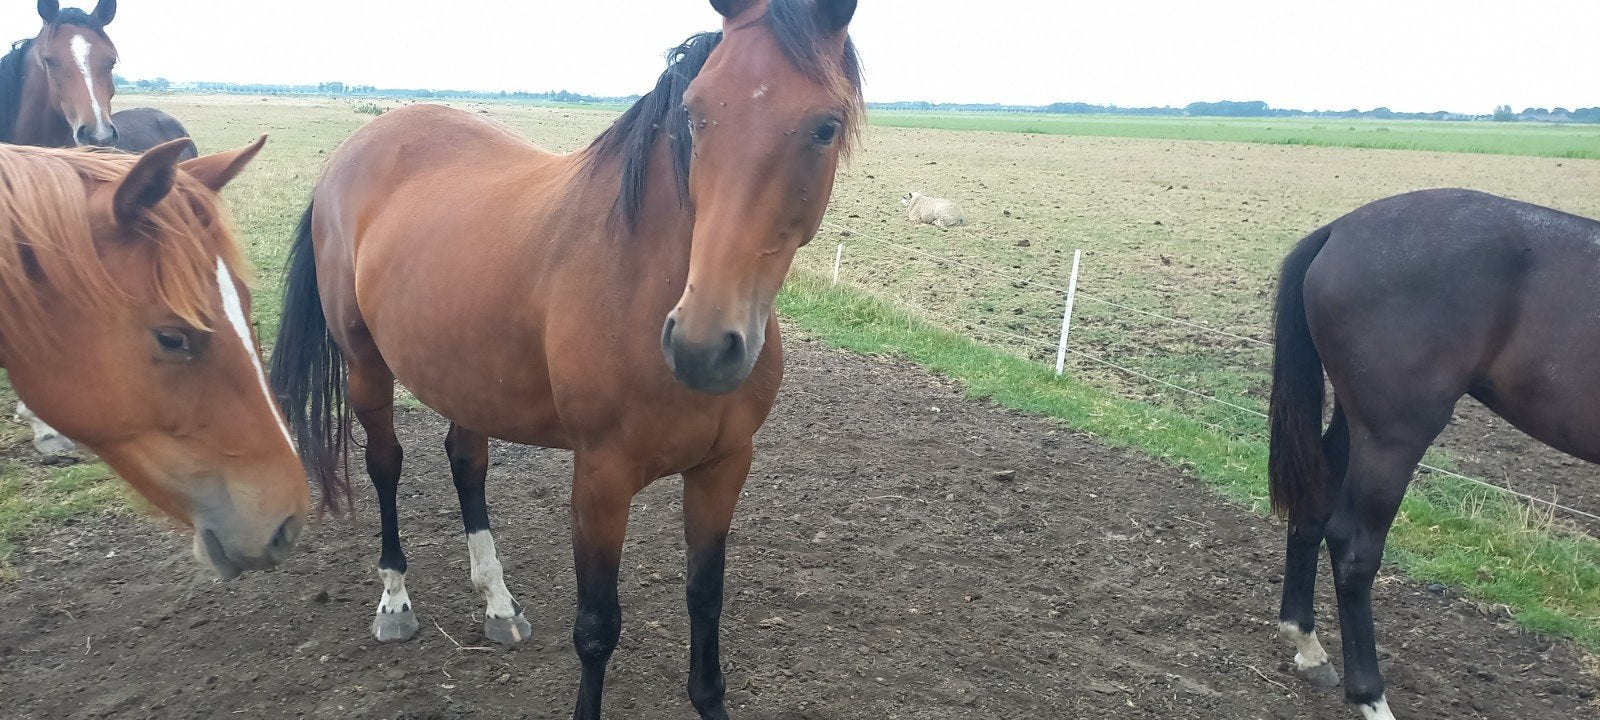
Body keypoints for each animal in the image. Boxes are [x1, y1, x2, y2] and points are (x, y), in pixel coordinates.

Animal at [268, 1, 862, 716]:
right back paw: (395, 601)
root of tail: (354, 150)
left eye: (826, 126)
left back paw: (498, 606)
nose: (701, 346)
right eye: (694, 113)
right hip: (366, 366)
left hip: (466, 376)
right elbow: (597, 626)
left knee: (467, 465)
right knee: (385, 464)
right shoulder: (601, 477)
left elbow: (706, 598)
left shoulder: (723, 468)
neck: (640, 275)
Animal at [1269, 188, 1600, 720]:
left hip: (1357, 423)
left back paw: (1309, 646)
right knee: (1354, 547)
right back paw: (1371, 697)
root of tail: (1339, 229)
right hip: (1393, 436)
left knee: (1314, 504)